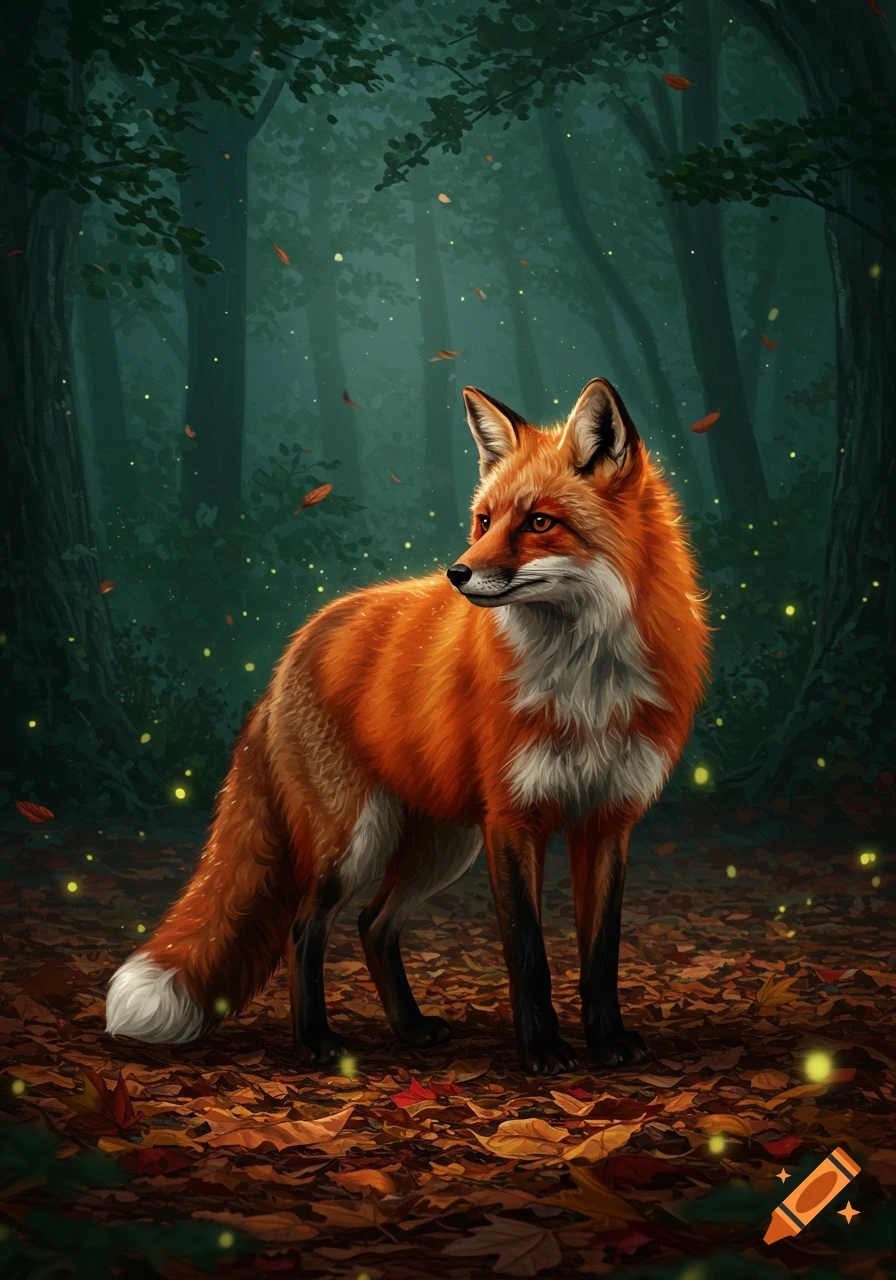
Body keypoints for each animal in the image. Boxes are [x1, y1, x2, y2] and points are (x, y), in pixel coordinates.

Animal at [106, 378, 710, 1076]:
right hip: (356, 840)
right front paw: (541, 1050)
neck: (585, 679)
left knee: (373, 924)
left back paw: (410, 1027)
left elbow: (600, 955)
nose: (458, 574)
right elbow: (528, 952)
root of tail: (294, 648)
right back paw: (314, 1040)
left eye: (539, 522)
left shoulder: (607, 820)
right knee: (305, 928)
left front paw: (607, 1041)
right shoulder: (514, 819)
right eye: (483, 521)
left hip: (441, 845)